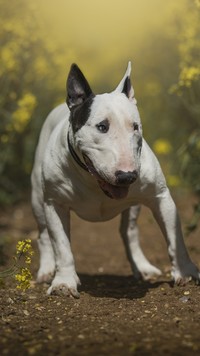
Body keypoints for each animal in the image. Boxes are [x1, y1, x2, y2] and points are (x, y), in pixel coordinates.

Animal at [30, 62, 199, 296]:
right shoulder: (55, 204)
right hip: (38, 198)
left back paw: (142, 267)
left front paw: (185, 273)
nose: (128, 176)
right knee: (44, 235)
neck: (94, 182)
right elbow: (62, 246)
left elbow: (175, 239)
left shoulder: (160, 197)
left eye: (135, 126)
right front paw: (63, 283)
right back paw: (46, 270)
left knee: (130, 232)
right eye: (102, 126)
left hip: (134, 205)